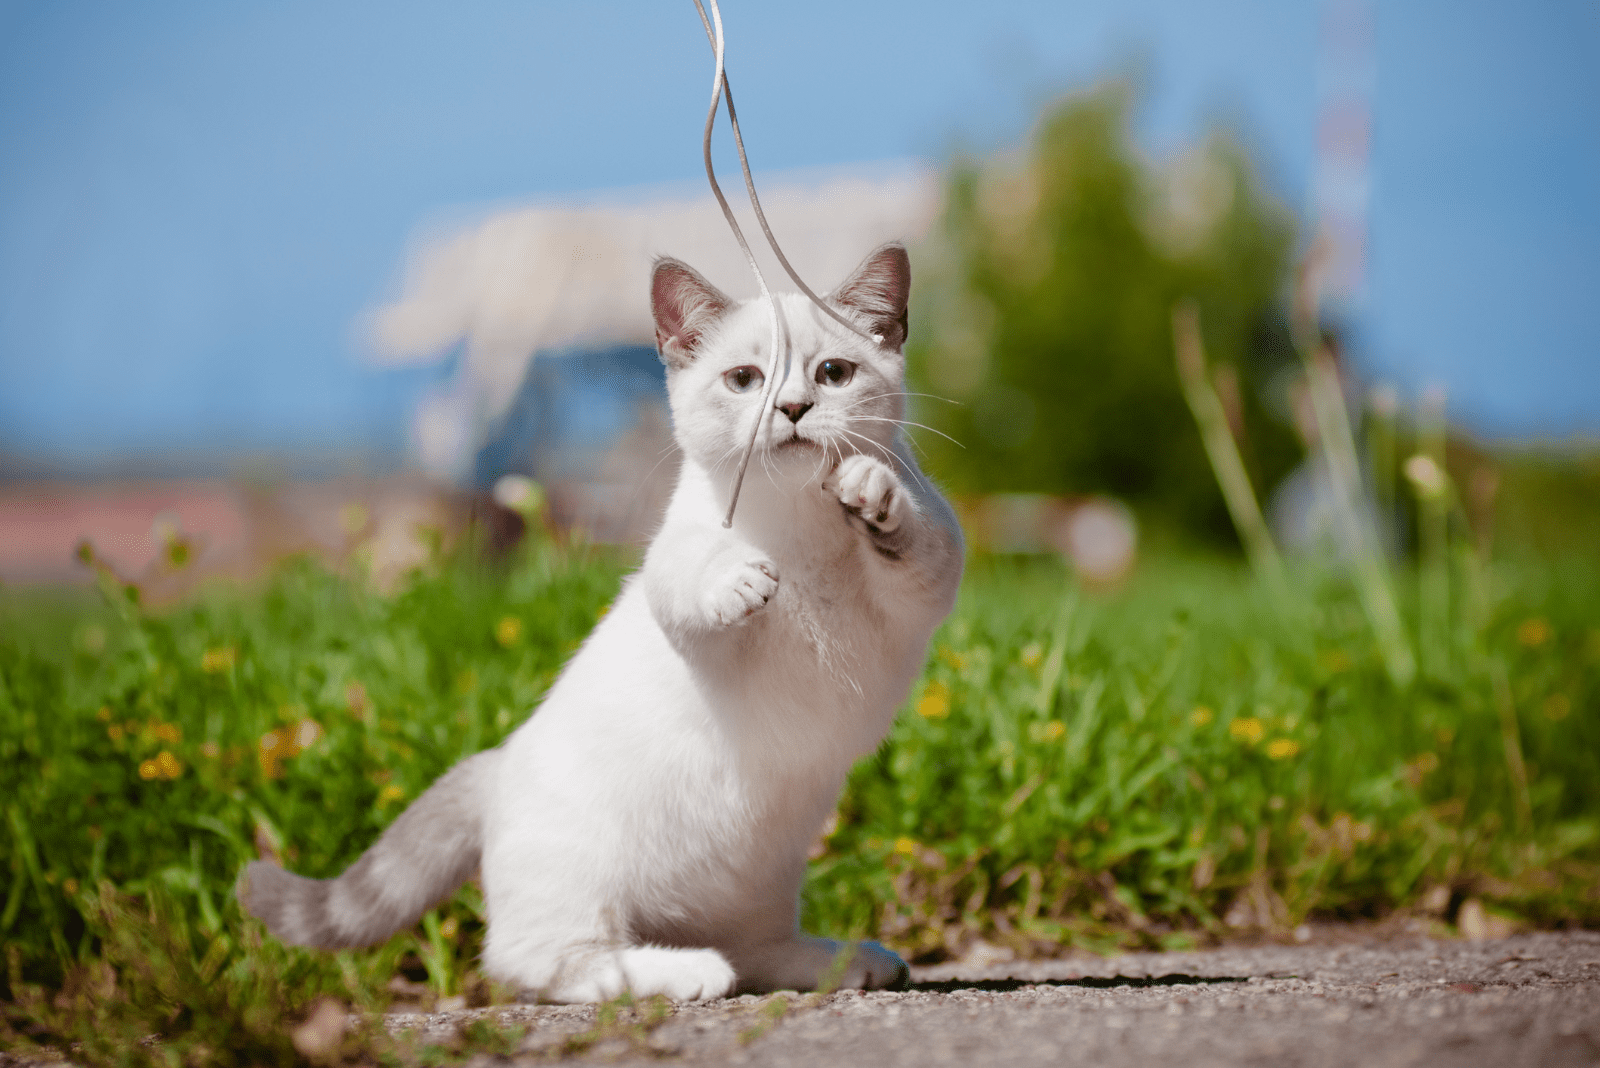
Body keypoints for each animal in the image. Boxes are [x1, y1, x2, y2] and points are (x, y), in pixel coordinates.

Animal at [236, 241, 960, 1004]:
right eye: (745, 379)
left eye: (833, 374)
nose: (792, 408)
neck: (796, 525)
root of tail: (495, 766)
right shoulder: (682, 586)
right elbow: (691, 575)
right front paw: (737, 578)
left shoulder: (929, 579)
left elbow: (917, 535)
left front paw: (871, 492)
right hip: (583, 889)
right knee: (552, 962)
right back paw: (687, 971)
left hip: (761, 880)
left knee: (753, 950)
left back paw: (840, 961)